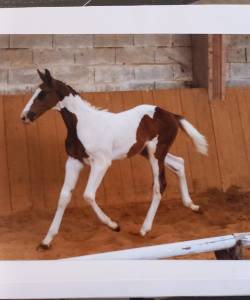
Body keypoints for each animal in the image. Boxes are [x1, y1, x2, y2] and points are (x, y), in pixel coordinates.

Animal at [21, 69, 207, 250]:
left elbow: (88, 195)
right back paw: (192, 206)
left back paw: (144, 229)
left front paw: (113, 225)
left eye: (42, 94)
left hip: (156, 153)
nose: (25, 116)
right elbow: (64, 197)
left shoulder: (101, 163)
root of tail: (171, 115)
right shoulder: (74, 161)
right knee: (179, 163)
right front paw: (46, 241)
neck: (83, 125)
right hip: (148, 152)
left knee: (159, 185)